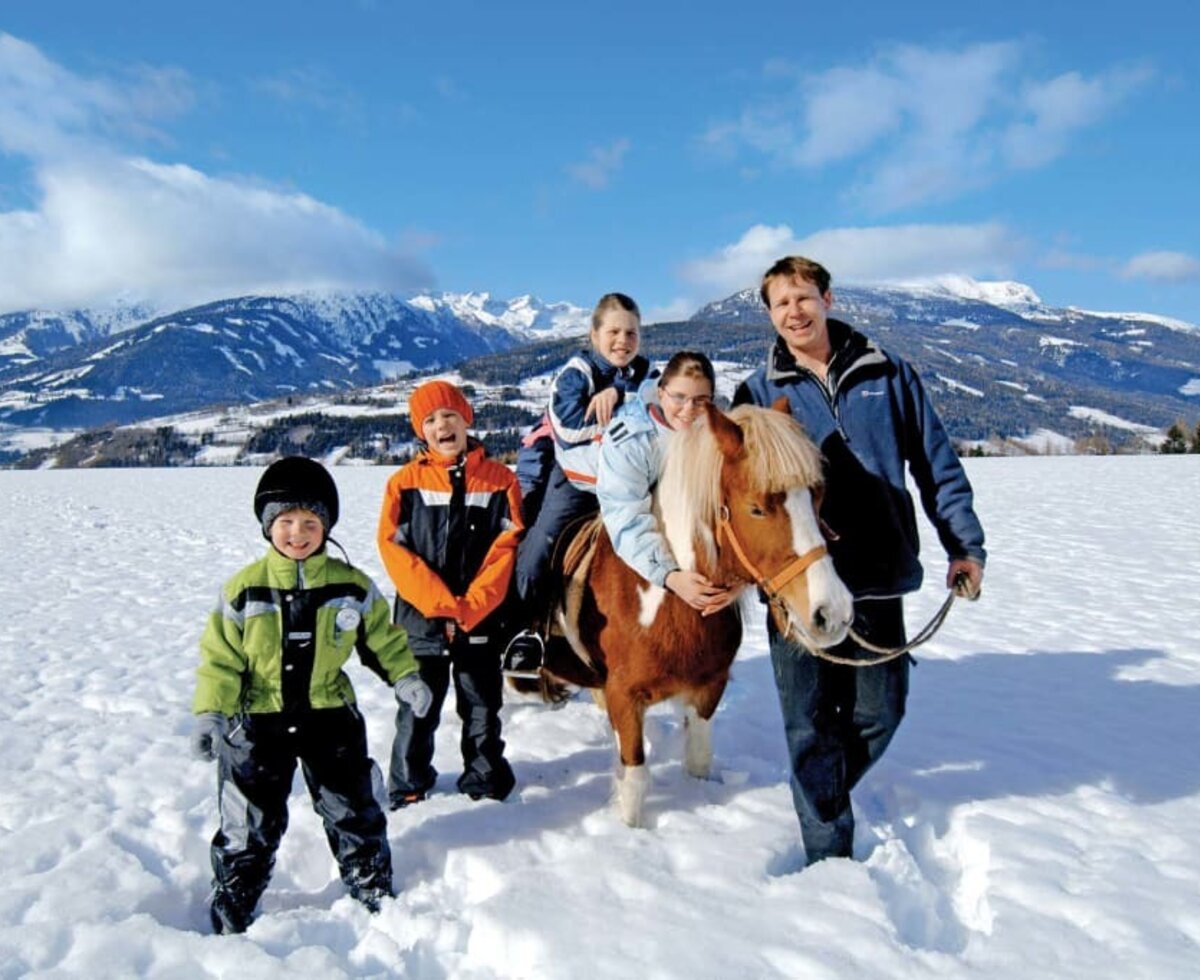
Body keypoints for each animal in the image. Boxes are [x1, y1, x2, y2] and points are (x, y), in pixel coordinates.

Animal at [525, 400, 854, 825]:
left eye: (816, 497)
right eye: (756, 509)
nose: (832, 613)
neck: (666, 603)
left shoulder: (708, 689)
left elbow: (698, 760)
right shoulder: (624, 697)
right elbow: (634, 782)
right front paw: (631, 832)